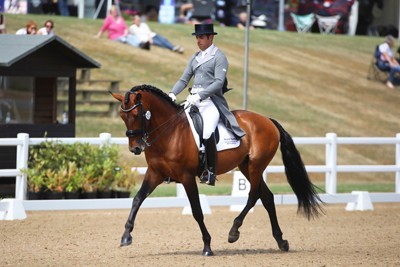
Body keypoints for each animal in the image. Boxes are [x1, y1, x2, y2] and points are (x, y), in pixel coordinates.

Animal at [111, 85, 324, 256]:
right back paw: (281, 241)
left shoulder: (187, 177)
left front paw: (207, 246)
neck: (170, 132)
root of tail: (267, 120)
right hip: (245, 166)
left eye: (136, 115)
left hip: (255, 166)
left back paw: (234, 232)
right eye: (122, 116)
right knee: (267, 197)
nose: (135, 148)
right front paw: (126, 236)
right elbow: (137, 199)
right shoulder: (155, 173)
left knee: (254, 195)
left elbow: (197, 211)